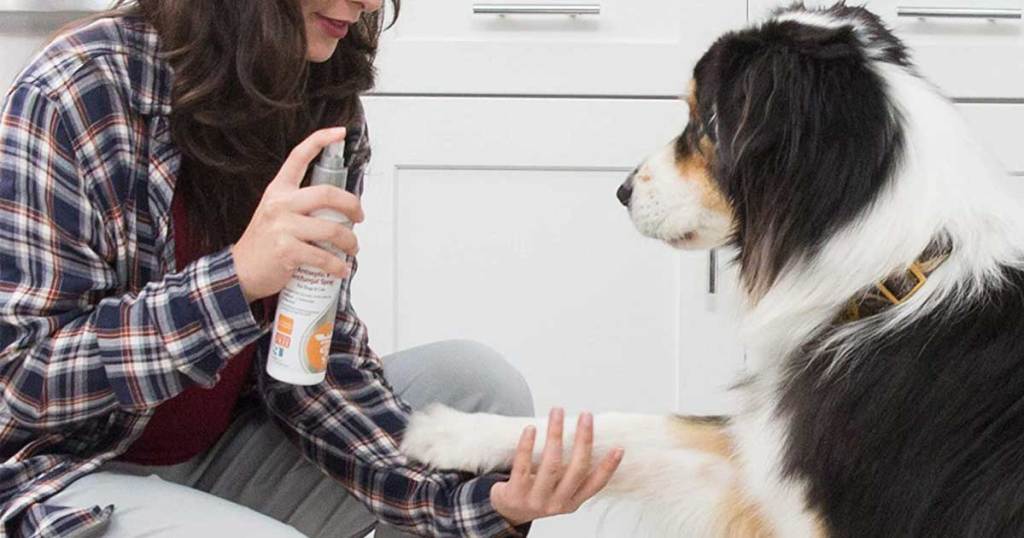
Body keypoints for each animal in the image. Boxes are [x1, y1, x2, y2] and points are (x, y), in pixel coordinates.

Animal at [397, 3, 1024, 532]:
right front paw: (444, 429)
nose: (622, 191)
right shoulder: (763, 463)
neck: (896, 276)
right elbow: (634, 423)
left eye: (703, 121)